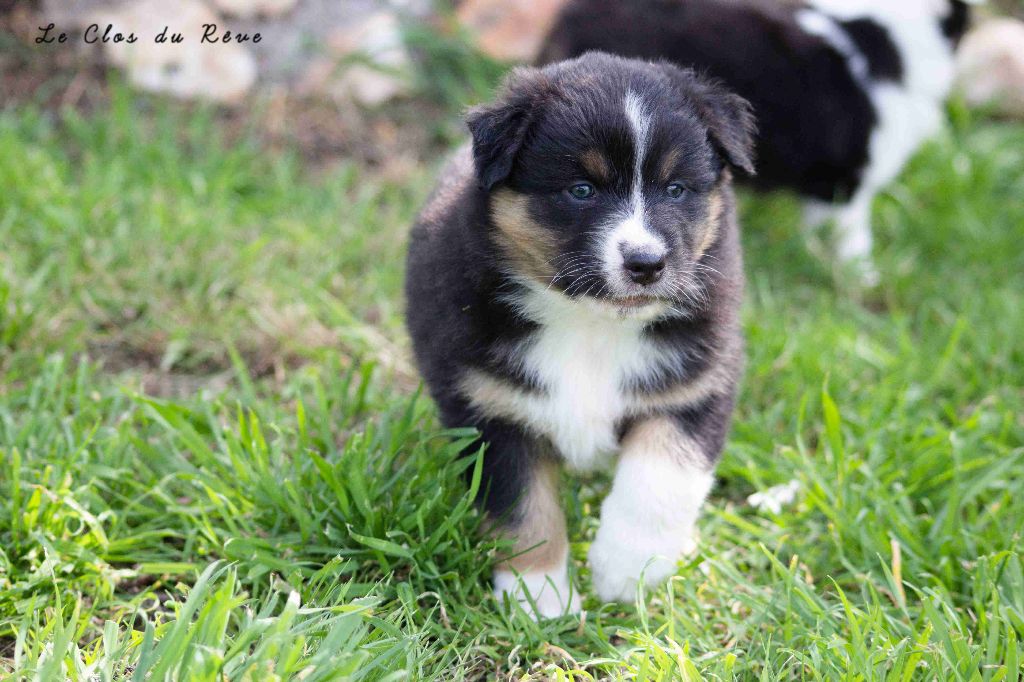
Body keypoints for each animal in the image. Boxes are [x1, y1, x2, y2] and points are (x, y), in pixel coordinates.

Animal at [405, 52, 752, 617]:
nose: (646, 263)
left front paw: (627, 570)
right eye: (581, 190)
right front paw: (540, 599)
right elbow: (523, 508)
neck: (592, 325)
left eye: (675, 188)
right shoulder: (490, 407)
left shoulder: (697, 385)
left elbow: (660, 479)